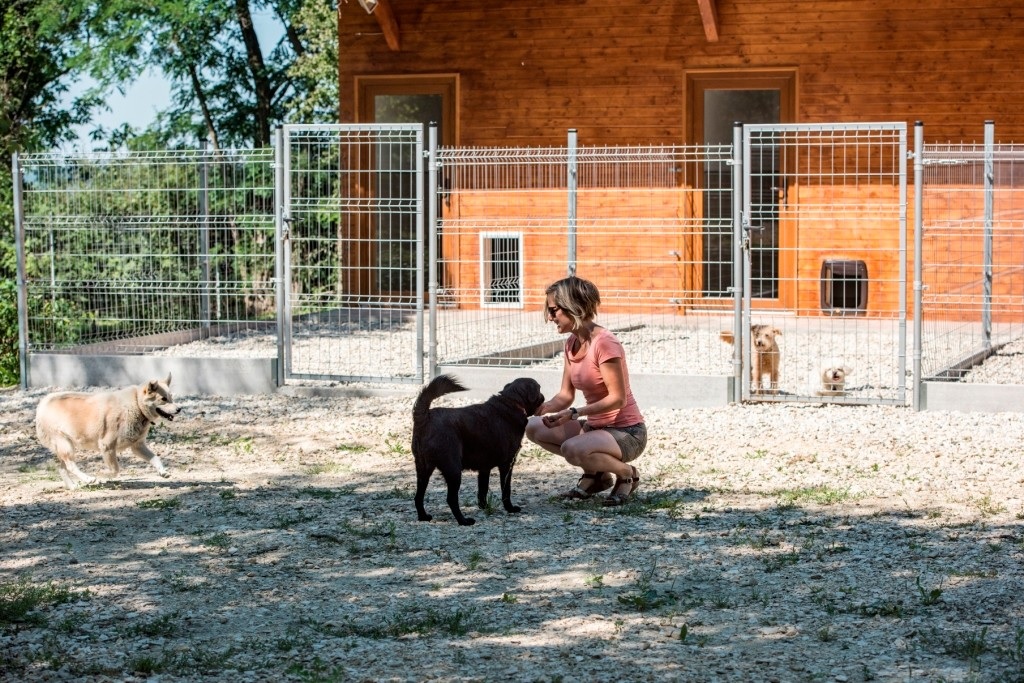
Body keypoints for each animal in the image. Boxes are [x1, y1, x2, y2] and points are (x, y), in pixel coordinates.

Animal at [35, 374, 180, 491]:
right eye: (163, 399)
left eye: (171, 397)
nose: (179, 409)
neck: (136, 405)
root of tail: (43, 403)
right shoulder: (107, 446)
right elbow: (115, 470)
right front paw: (102, 475)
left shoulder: (137, 446)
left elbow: (155, 458)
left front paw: (162, 471)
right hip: (65, 444)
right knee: (70, 465)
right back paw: (88, 479)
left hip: (64, 446)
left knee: (62, 467)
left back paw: (72, 486)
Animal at [413, 376, 548, 528]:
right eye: (539, 389)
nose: (544, 396)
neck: (512, 403)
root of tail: (425, 417)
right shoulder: (507, 465)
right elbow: (506, 490)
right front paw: (510, 508)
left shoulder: (484, 468)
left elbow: (482, 489)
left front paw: (484, 507)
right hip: (453, 470)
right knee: (451, 499)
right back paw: (464, 521)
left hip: (423, 470)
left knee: (418, 496)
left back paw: (423, 517)